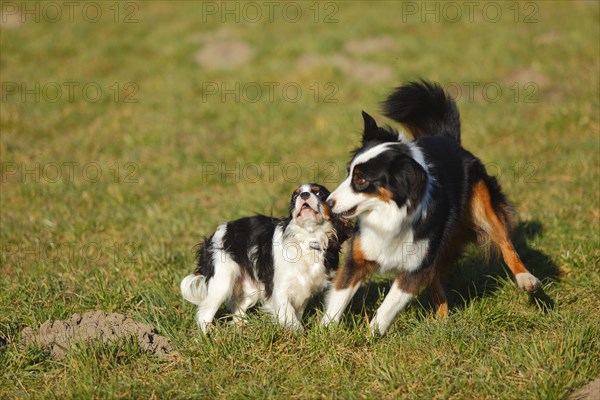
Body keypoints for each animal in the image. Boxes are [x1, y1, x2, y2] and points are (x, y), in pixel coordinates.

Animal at [180, 183, 350, 332]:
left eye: (318, 193)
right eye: (295, 196)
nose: (304, 195)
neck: (308, 240)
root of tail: (211, 237)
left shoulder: (304, 290)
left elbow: (297, 313)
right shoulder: (280, 289)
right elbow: (290, 315)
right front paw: (298, 334)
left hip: (249, 289)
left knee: (237, 307)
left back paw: (241, 327)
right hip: (222, 281)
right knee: (204, 313)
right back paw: (208, 336)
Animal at [324, 80, 544, 334]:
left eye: (361, 180)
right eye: (348, 172)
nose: (328, 203)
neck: (390, 214)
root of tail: (447, 137)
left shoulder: (415, 265)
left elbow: (387, 306)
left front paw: (371, 334)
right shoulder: (359, 257)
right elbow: (339, 298)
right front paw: (324, 333)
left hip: (482, 205)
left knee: (505, 243)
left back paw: (526, 278)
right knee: (437, 280)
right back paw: (441, 323)